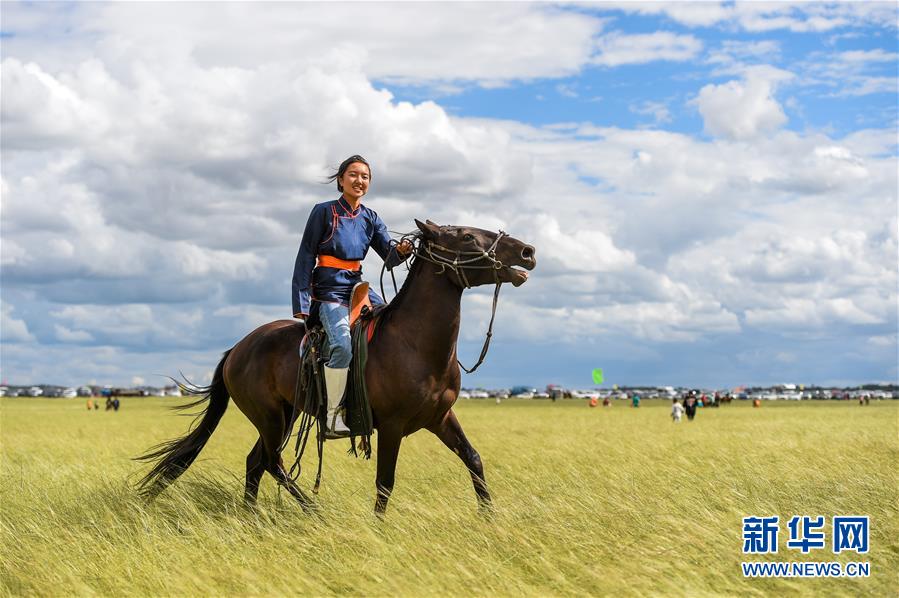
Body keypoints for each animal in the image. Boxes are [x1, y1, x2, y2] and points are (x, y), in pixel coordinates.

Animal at [137, 220, 536, 516]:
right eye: (467, 236)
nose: (527, 252)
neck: (414, 344)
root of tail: (238, 348)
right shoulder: (392, 426)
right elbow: (385, 481)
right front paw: (379, 527)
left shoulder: (440, 418)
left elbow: (473, 459)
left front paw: (488, 517)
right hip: (270, 416)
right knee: (271, 461)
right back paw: (312, 511)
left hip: (287, 413)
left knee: (256, 461)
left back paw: (251, 513)